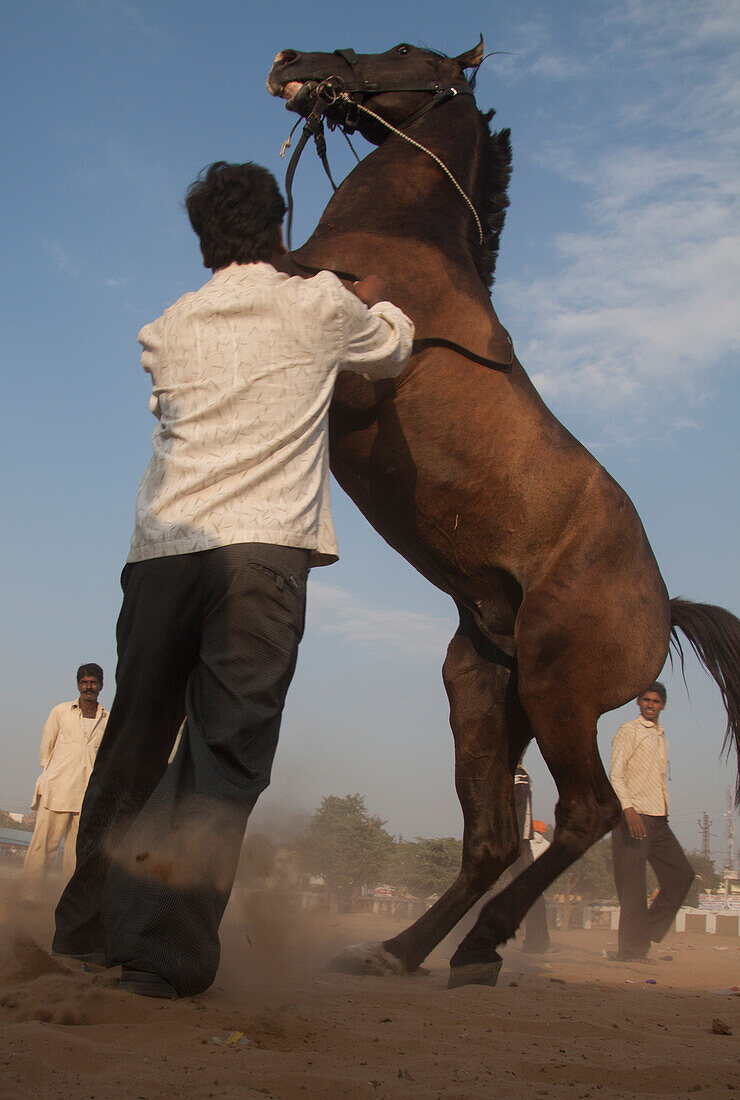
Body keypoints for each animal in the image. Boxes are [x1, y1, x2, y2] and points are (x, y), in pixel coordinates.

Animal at [266, 38, 738, 985]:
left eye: (401, 52)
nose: (294, 57)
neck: (401, 241)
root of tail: (663, 607)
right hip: (484, 691)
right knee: (489, 840)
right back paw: (403, 951)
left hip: (558, 691)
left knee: (588, 814)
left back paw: (489, 944)